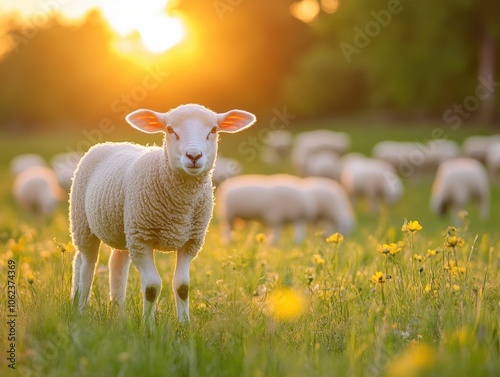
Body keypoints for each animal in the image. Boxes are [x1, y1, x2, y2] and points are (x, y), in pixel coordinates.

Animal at [68, 104, 256, 322]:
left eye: (214, 130)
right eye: (170, 129)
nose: (193, 156)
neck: (180, 206)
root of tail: (111, 143)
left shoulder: (190, 242)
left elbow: (183, 286)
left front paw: (184, 324)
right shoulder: (141, 239)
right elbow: (151, 287)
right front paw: (148, 325)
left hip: (124, 229)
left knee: (116, 264)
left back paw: (119, 314)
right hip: (83, 224)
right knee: (86, 265)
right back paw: (80, 308)